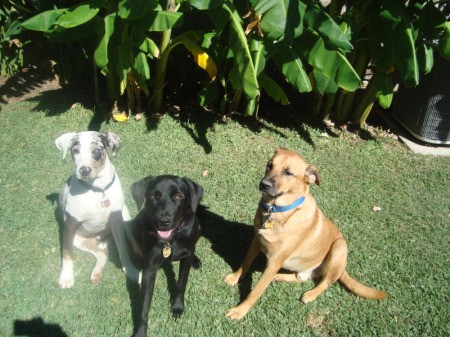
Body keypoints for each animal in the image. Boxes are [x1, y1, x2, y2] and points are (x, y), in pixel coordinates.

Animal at [55, 130, 139, 288]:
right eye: (75, 150)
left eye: (96, 151)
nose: (84, 170)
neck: (98, 189)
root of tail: (99, 236)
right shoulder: (70, 224)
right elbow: (67, 252)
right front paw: (67, 277)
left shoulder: (116, 220)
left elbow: (123, 248)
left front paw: (131, 270)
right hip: (79, 240)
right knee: (101, 253)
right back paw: (96, 273)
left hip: (125, 217)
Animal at [127, 175, 203, 334]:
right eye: (153, 196)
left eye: (178, 196)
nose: (163, 221)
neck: (170, 240)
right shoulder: (150, 269)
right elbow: (144, 305)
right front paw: (140, 331)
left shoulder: (186, 258)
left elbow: (181, 284)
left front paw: (177, 307)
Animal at [223, 148, 388, 318]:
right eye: (270, 165)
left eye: (288, 172)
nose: (264, 184)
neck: (276, 210)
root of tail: (343, 269)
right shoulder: (257, 240)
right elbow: (245, 262)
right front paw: (235, 277)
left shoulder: (274, 262)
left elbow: (255, 291)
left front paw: (240, 310)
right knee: (302, 277)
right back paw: (280, 277)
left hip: (339, 246)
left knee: (326, 282)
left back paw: (310, 294)